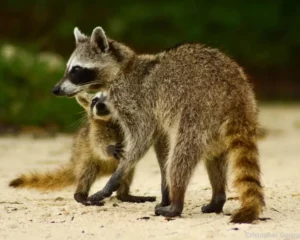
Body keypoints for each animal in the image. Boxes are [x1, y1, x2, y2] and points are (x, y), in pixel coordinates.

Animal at [8, 92, 156, 204]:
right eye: (94, 100)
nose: (99, 105)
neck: (109, 120)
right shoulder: (94, 133)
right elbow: (99, 145)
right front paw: (109, 148)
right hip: (86, 160)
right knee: (86, 174)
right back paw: (80, 195)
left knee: (128, 172)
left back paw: (123, 195)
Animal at [51, 26, 264, 223]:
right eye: (68, 68)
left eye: (76, 70)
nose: (55, 89)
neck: (122, 69)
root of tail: (236, 97)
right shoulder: (159, 117)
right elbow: (161, 147)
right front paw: (164, 191)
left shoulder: (134, 100)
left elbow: (142, 137)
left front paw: (116, 177)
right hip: (217, 124)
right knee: (213, 158)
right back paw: (217, 198)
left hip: (198, 112)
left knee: (180, 156)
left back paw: (177, 204)